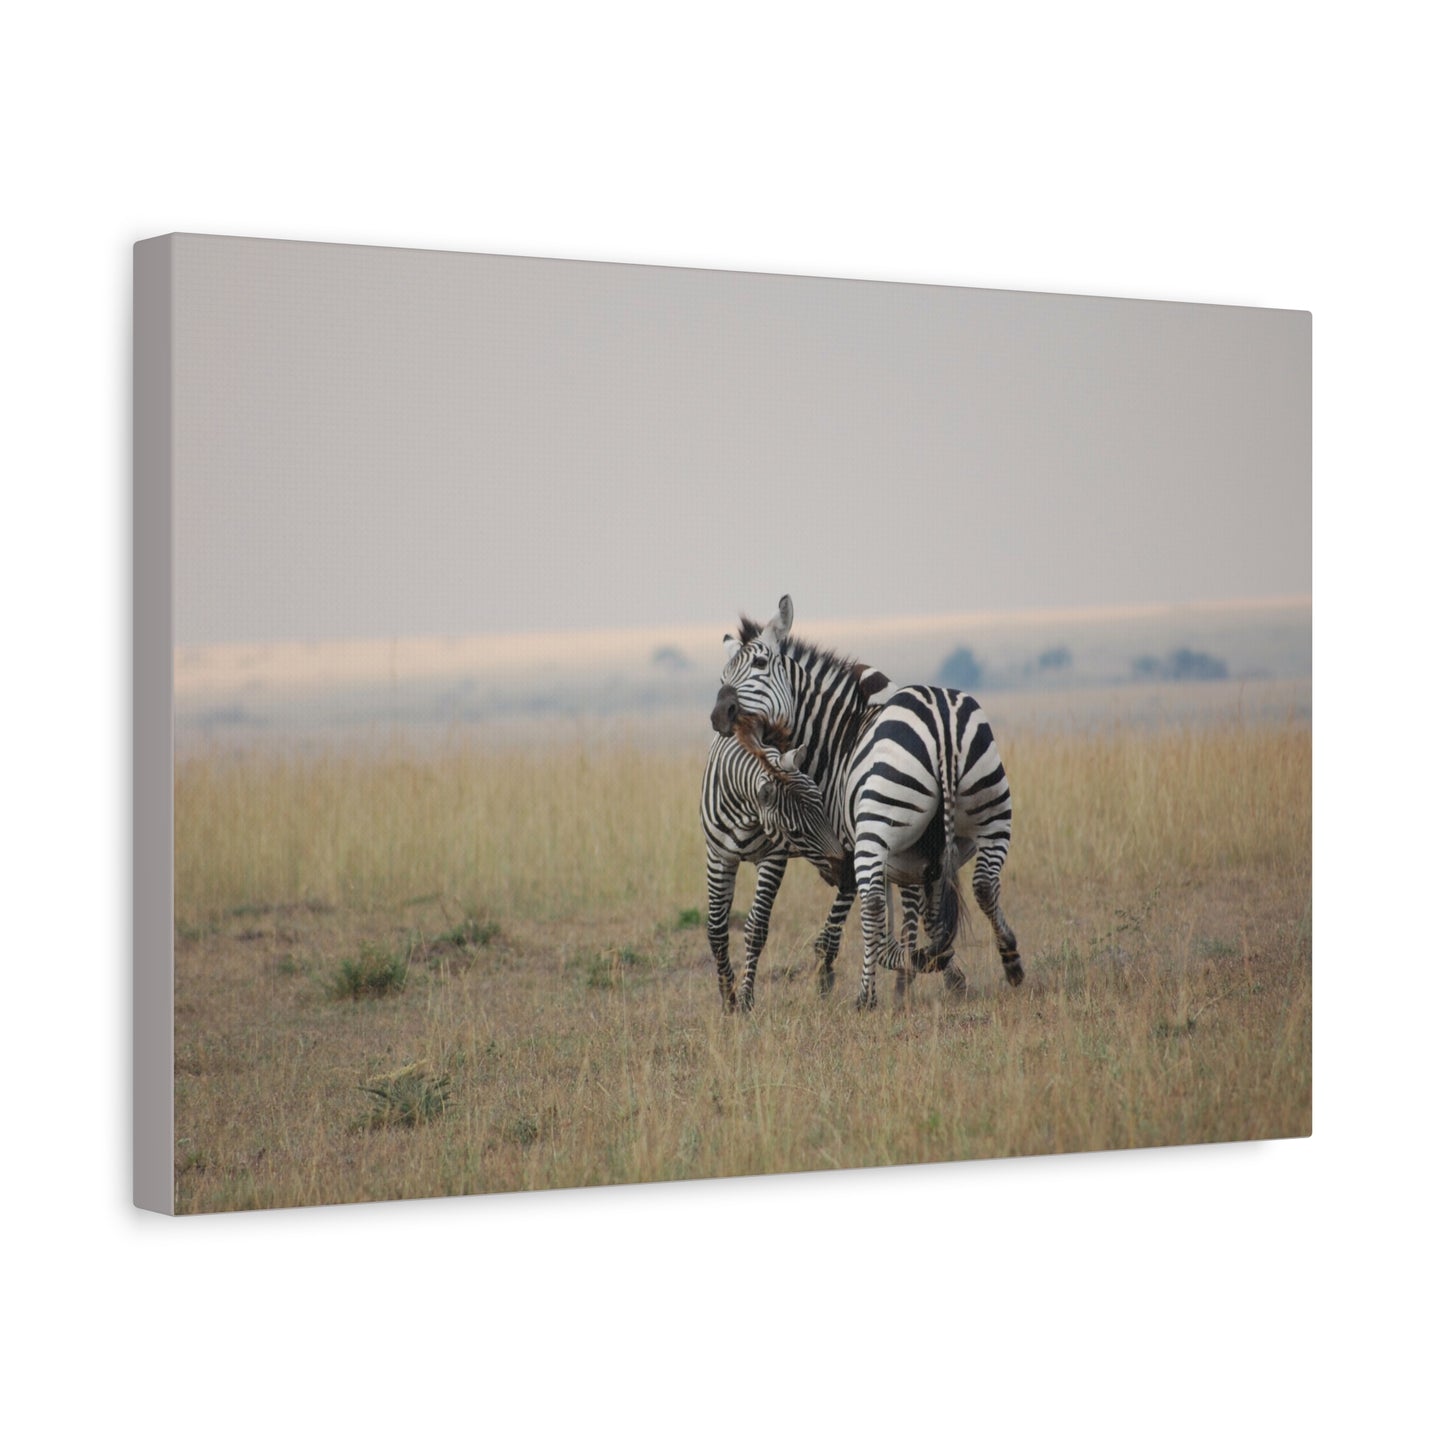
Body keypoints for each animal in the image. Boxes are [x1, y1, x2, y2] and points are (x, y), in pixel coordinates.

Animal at [700, 732, 853, 1012]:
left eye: (822, 804)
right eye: (795, 832)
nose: (844, 870)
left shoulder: (773, 857)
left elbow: (756, 928)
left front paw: (746, 999)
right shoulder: (718, 856)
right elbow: (716, 930)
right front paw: (728, 996)